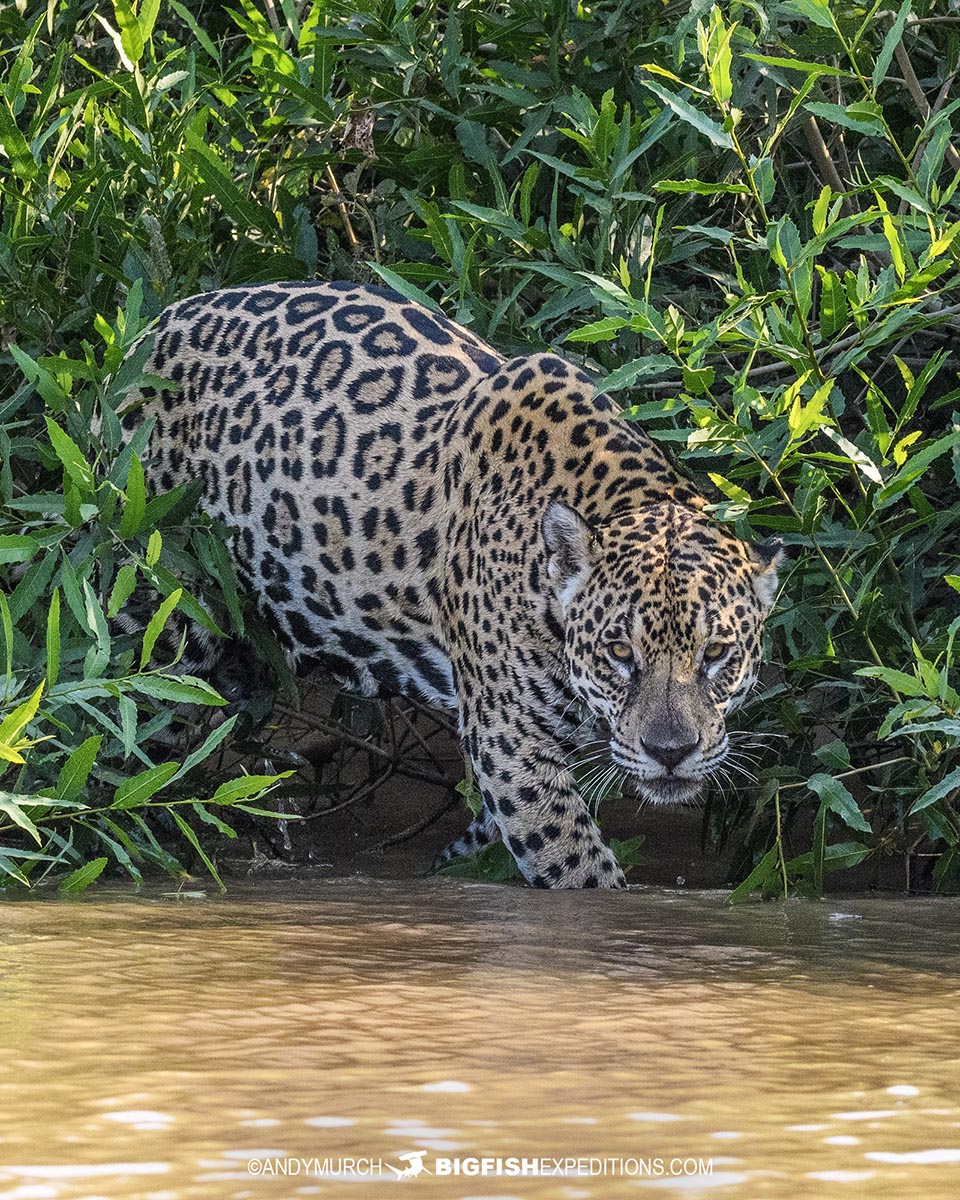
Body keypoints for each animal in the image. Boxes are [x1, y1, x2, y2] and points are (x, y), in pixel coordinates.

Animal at [124, 279, 781, 889]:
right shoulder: (510, 743)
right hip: (163, 616)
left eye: (716, 653)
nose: (670, 753)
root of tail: (158, 320)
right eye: (620, 651)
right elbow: (580, 872)